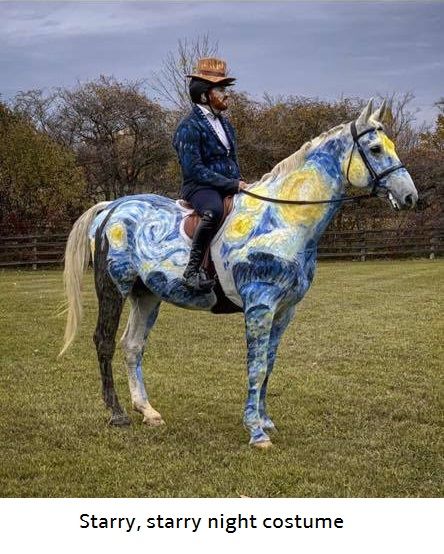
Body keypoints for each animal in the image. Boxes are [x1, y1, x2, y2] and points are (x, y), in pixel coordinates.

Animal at [60, 98, 418, 444]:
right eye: (376, 149)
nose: (410, 197)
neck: (283, 219)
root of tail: (112, 208)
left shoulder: (285, 310)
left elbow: (269, 364)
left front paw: (265, 420)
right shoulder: (260, 305)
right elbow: (256, 366)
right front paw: (256, 431)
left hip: (146, 295)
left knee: (133, 346)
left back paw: (148, 412)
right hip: (114, 288)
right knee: (104, 342)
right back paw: (117, 414)